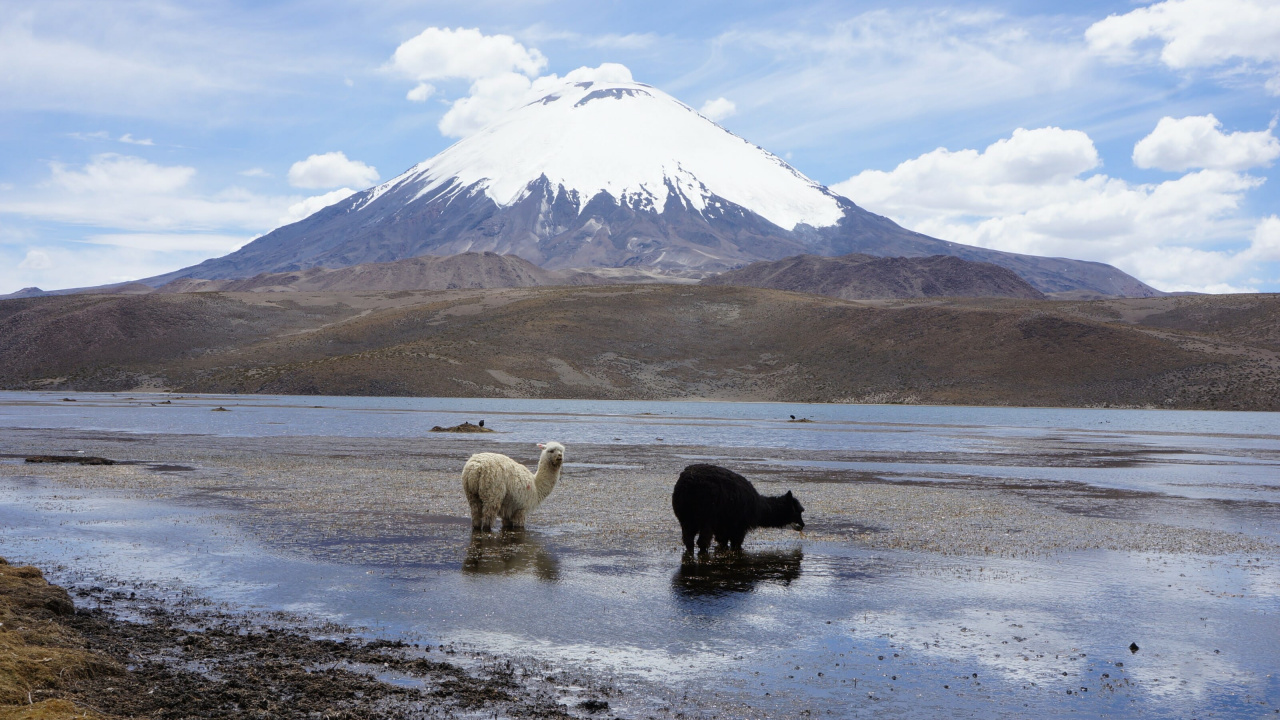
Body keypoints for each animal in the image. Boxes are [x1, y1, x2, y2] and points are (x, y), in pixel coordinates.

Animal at [671, 463, 805, 553]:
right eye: (798, 511)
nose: (802, 525)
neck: (760, 508)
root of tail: (686, 484)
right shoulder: (739, 525)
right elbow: (736, 542)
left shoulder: (724, 525)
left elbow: (723, 541)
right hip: (706, 514)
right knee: (702, 540)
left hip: (686, 515)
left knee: (688, 539)